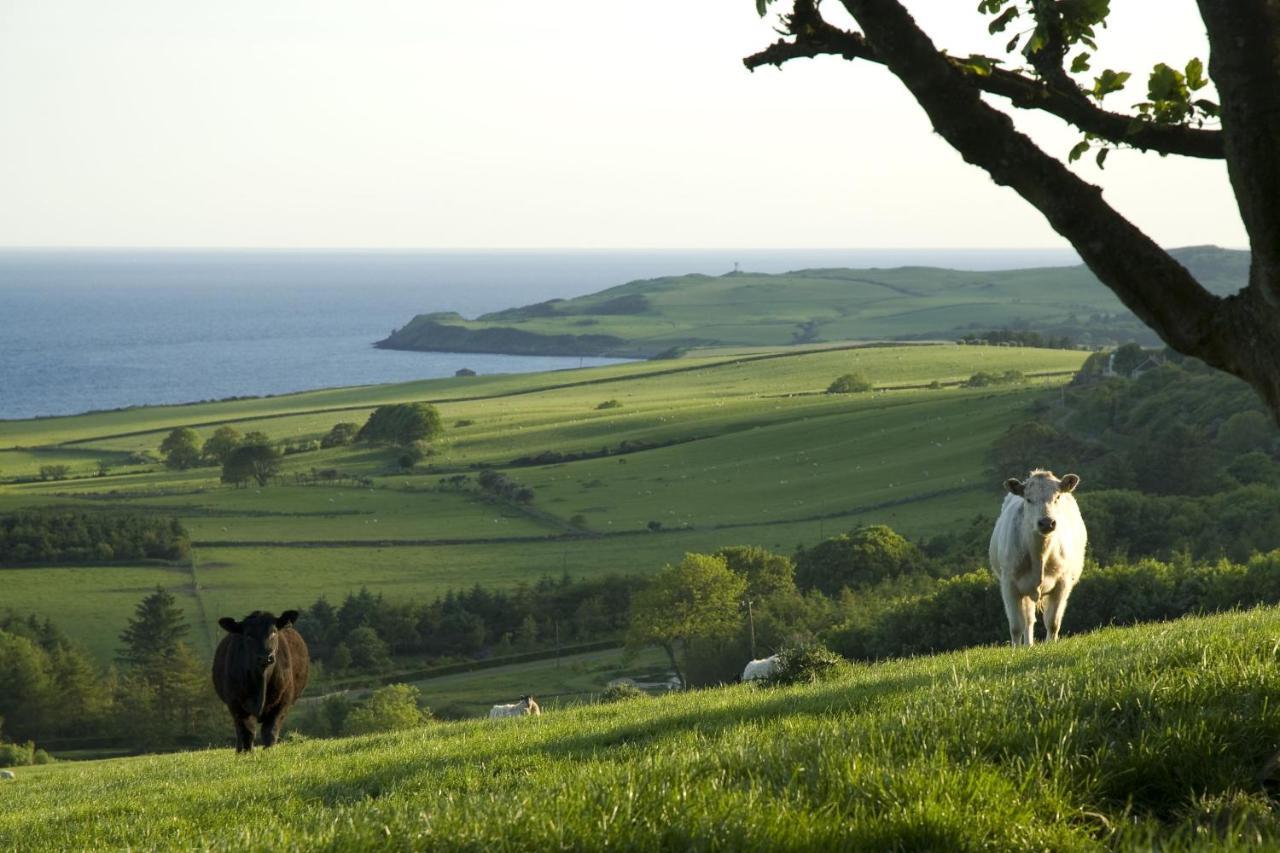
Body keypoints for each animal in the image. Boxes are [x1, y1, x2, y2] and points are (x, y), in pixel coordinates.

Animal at [212, 607, 309, 747]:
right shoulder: (235, 703)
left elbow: (270, 731)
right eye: (248, 635)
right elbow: (247, 733)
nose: (265, 657)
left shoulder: (283, 702)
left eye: (273, 632)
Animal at [983, 466, 1085, 645]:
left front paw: (1051, 645)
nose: (1046, 522)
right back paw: (1028, 645)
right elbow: (1016, 626)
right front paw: (1016, 650)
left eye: (1057, 497)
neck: (1040, 556)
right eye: (1029, 499)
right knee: (1028, 620)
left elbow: (1053, 622)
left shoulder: (1063, 583)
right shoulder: (1009, 584)